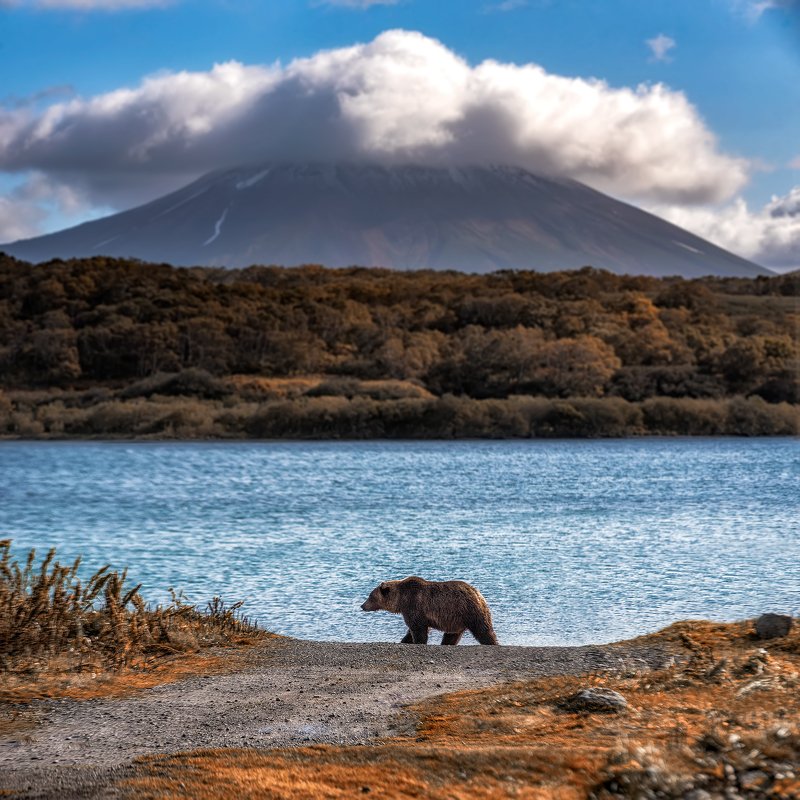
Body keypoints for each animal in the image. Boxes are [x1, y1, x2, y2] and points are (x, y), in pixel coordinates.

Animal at [360, 576, 498, 645]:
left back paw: (492, 642)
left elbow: (417, 628)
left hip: (469, 610)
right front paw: (405, 640)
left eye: (370, 596)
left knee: (482, 630)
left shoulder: (414, 605)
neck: (401, 599)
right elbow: (411, 630)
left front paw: (418, 641)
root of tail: (479, 594)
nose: (362, 606)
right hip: (456, 619)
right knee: (452, 635)